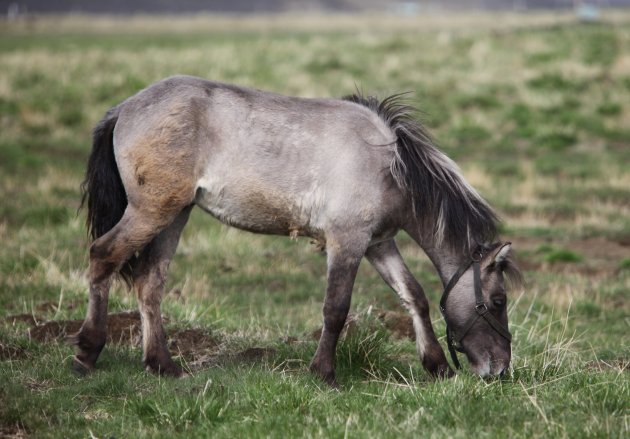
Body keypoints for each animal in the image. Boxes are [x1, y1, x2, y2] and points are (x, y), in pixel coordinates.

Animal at [76, 75, 524, 384]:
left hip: (175, 214)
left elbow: (414, 296)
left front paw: (435, 365)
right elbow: (336, 308)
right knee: (103, 256)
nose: (501, 370)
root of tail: (124, 108)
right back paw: (87, 352)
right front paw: (324, 373)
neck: (389, 165)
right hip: (151, 212)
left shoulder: (378, 244)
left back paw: (163, 365)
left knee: (150, 283)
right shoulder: (346, 243)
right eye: (498, 301)